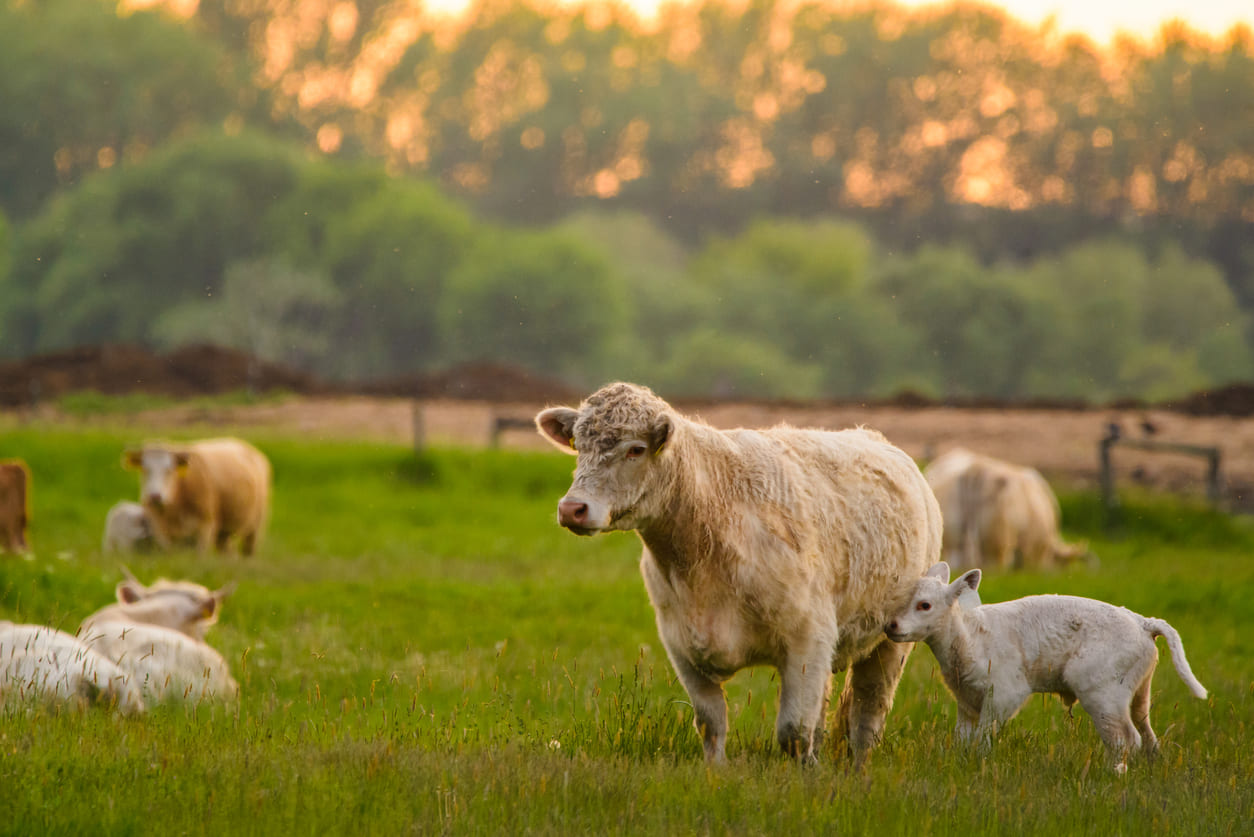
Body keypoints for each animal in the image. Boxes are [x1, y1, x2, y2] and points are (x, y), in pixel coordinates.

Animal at [123, 438, 271, 556]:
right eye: (145, 469)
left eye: (169, 470)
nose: (155, 496)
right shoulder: (161, 530)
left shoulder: (205, 527)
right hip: (224, 534)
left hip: (254, 528)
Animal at [536, 382, 942, 764]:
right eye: (579, 447)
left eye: (635, 449)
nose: (572, 508)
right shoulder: (681, 645)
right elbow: (712, 723)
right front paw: (716, 775)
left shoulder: (808, 638)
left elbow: (795, 732)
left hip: (891, 643)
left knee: (866, 719)